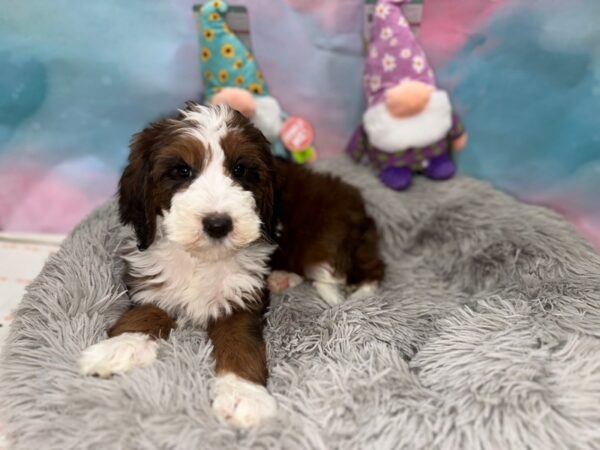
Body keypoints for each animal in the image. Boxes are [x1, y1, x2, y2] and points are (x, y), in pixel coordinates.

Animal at [78, 103, 384, 428]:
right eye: (182, 171)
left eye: (240, 170)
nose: (218, 224)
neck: (203, 258)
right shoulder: (151, 281)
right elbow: (144, 314)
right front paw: (118, 348)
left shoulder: (241, 297)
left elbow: (239, 343)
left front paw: (243, 394)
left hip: (324, 243)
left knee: (360, 271)